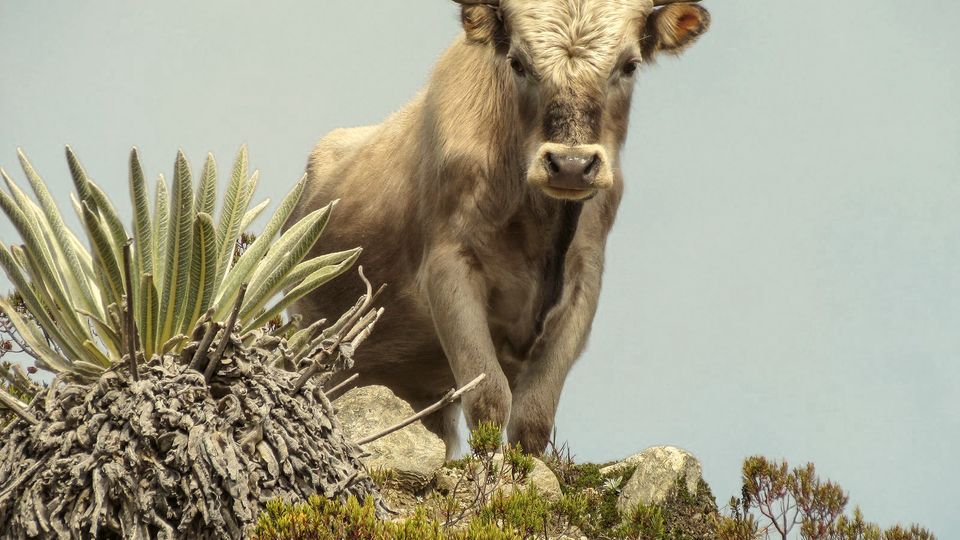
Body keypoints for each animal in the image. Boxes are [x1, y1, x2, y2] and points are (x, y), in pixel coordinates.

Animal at [286, 0, 711, 456]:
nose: (571, 165)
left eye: (629, 65)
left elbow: (533, 417)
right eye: (518, 63)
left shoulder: (585, 281)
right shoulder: (448, 267)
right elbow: (489, 399)